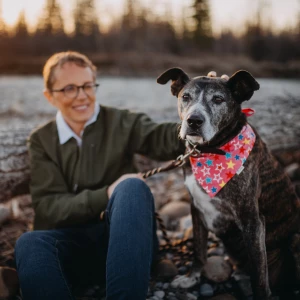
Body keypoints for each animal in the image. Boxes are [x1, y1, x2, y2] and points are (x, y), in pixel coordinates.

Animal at [157, 68, 300, 300]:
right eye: (185, 97)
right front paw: (191, 278)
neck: (210, 150)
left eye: (218, 99)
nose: (194, 121)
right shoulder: (196, 209)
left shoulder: (252, 221)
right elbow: (199, 250)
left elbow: (259, 275)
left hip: (295, 239)